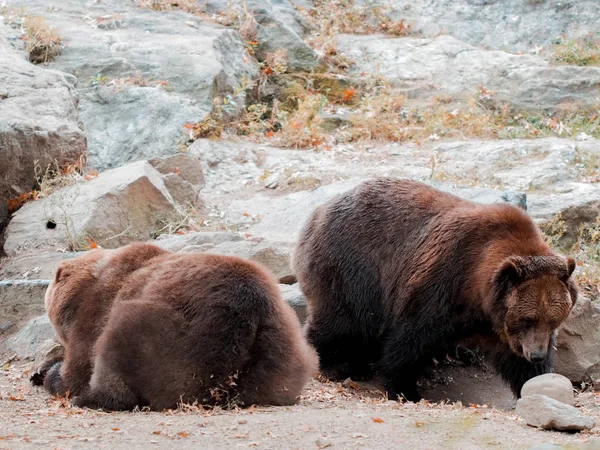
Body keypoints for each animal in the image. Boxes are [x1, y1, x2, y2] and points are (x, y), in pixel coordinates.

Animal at [35, 243, 318, 412]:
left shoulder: (96, 308)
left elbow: (80, 364)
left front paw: (52, 375)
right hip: (281, 348)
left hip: (178, 338)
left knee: (118, 342)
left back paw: (90, 398)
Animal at [292, 178, 580, 402]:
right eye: (527, 319)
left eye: (554, 320)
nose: (537, 355)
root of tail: (318, 212)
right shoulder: (446, 280)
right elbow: (411, 337)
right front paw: (405, 389)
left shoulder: (499, 322)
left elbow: (516, 361)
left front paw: (538, 384)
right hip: (352, 267)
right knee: (344, 320)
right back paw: (333, 363)